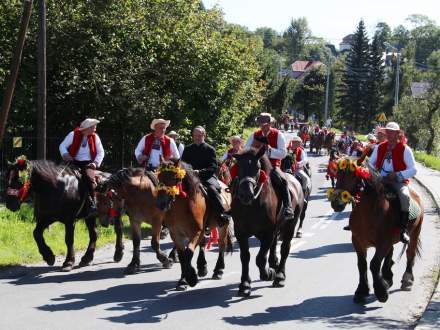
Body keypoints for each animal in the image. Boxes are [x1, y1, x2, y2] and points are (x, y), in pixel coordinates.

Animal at [156, 161, 235, 290]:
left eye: (175, 178)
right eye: (159, 178)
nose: (161, 203)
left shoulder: (197, 231)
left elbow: (188, 252)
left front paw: (191, 278)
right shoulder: (176, 234)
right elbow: (183, 256)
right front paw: (183, 281)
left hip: (222, 226)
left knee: (221, 245)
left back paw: (218, 270)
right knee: (203, 244)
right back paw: (202, 267)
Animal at [230, 147, 302, 296]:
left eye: (257, 168)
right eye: (238, 167)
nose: (246, 194)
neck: (252, 205)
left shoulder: (268, 232)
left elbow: (260, 258)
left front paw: (268, 274)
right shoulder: (240, 232)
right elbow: (245, 257)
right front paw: (245, 284)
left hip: (290, 226)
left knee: (285, 249)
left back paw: (279, 276)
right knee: (274, 247)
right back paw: (274, 264)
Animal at [330, 159, 422, 302]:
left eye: (353, 176)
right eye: (338, 174)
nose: (336, 203)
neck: (369, 212)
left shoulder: (383, 243)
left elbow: (374, 264)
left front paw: (381, 292)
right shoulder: (357, 241)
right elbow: (362, 264)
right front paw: (362, 291)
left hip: (415, 233)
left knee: (410, 254)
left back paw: (407, 279)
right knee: (390, 253)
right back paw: (388, 277)